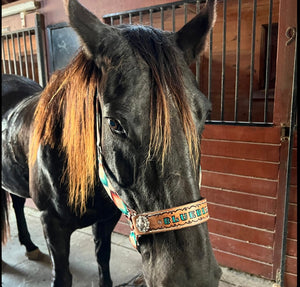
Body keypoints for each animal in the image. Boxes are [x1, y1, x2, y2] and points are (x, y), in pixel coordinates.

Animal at [1, 0, 221, 287]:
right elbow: (63, 275)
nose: (194, 277)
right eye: (115, 123)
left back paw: (29, 246)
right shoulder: (52, 225)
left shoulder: (106, 219)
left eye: (204, 114)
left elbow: (102, 259)